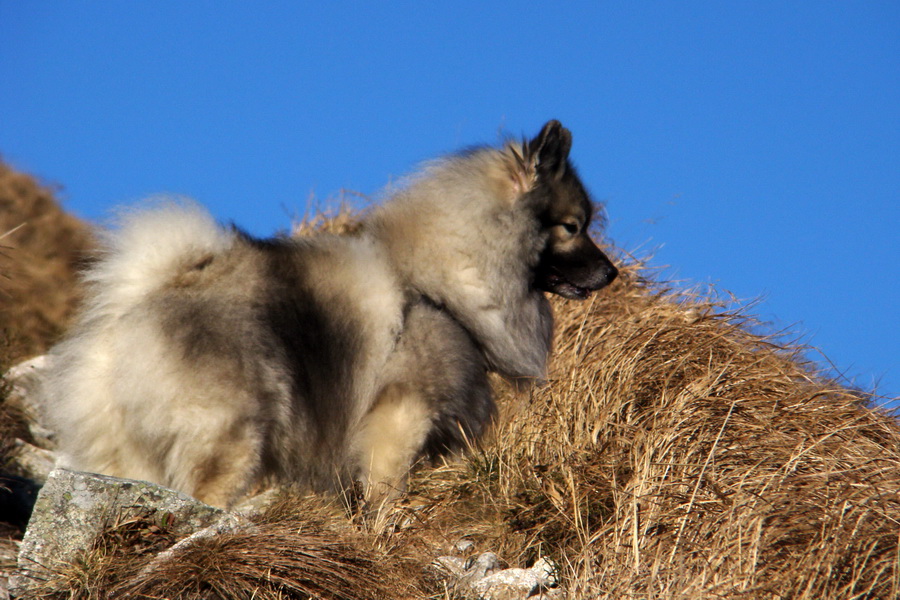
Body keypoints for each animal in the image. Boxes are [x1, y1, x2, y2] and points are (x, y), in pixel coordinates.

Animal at [42, 120, 620, 510]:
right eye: (573, 227)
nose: (612, 273)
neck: (443, 276)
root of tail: (137, 306)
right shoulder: (402, 415)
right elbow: (387, 490)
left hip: (128, 458)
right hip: (230, 436)